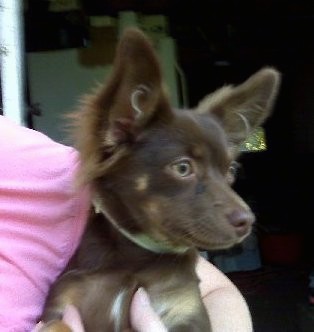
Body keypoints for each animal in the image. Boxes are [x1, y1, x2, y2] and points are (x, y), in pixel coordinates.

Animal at [39, 29, 280, 332]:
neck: (133, 260)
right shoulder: (63, 303)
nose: (247, 221)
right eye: (183, 168)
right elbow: (57, 326)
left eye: (231, 171)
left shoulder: (184, 311)